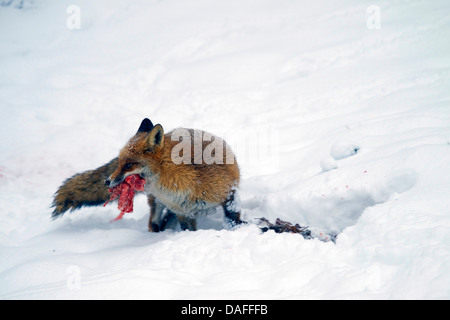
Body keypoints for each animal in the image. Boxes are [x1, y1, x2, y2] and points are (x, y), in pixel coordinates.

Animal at [51, 117, 243, 230]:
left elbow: (233, 217)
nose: (107, 181)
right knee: (154, 222)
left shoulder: (229, 192)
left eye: (129, 164)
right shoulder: (182, 211)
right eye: (120, 162)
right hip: (157, 203)